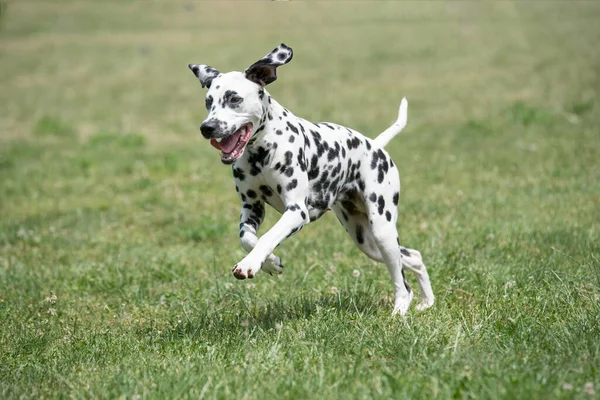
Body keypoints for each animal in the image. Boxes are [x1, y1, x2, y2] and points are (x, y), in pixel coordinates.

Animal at [188, 43, 432, 312]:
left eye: (234, 98)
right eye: (208, 102)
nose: (207, 127)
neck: (261, 151)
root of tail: (376, 146)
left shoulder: (296, 212)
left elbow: (268, 237)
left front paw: (249, 264)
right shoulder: (251, 207)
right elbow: (248, 239)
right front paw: (271, 262)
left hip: (382, 229)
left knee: (401, 282)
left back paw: (400, 310)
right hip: (366, 240)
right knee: (413, 257)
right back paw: (426, 302)